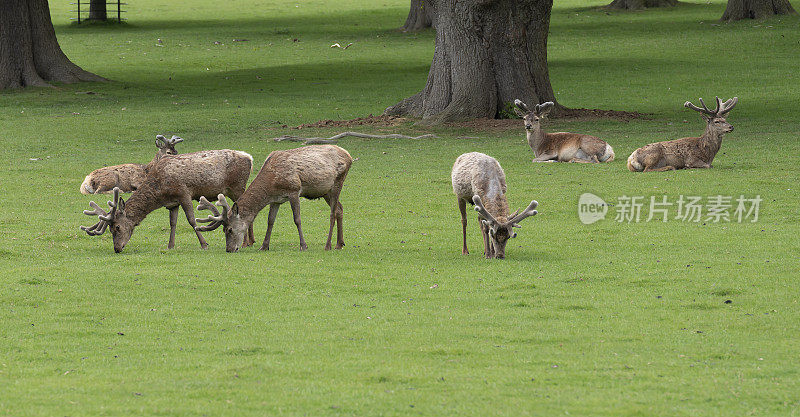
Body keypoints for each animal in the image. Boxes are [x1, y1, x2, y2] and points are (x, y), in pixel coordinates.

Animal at [79, 150, 252, 254]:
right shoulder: (172, 203)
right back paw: (250, 242)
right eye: (110, 229)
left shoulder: (184, 193)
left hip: (237, 186)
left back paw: (246, 243)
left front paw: (204, 244)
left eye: (117, 227)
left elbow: (191, 220)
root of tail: (249, 157)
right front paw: (170, 246)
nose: (117, 248)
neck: (160, 192)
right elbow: (172, 223)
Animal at [194, 145, 354, 252]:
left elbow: (297, 219)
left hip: (338, 182)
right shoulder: (276, 199)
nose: (229, 249)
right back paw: (340, 243)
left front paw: (303, 245)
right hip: (325, 191)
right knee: (339, 208)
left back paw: (328, 245)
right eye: (224, 230)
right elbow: (270, 221)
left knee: (332, 213)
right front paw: (264, 246)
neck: (271, 183)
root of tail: (349, 155)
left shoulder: (294, 191)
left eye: (230, 230)